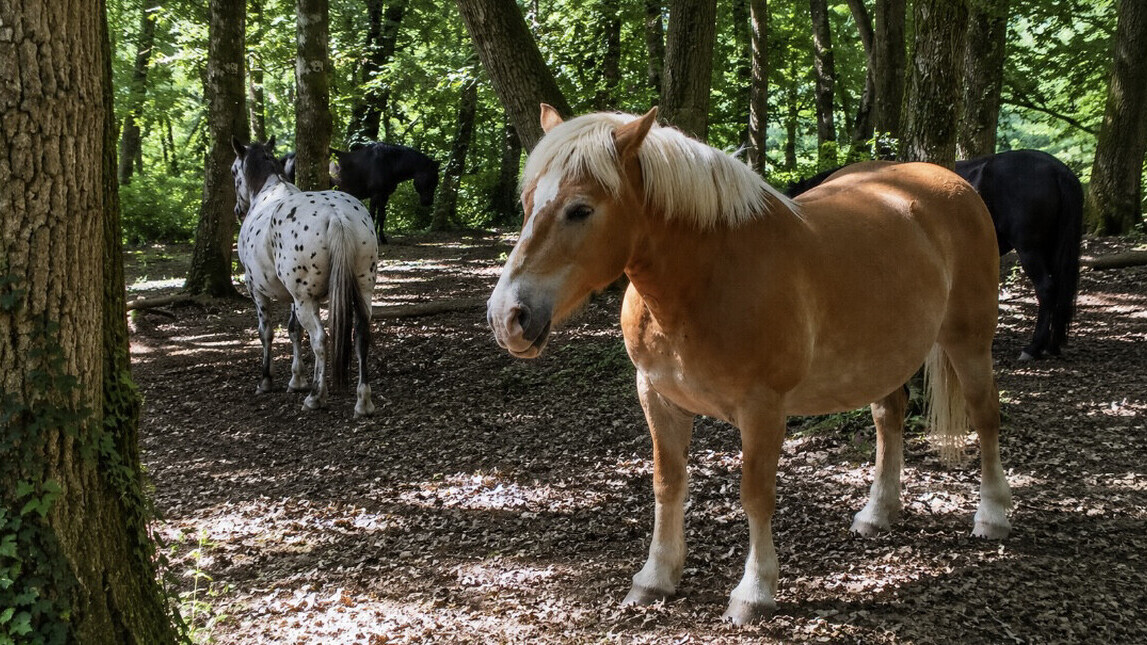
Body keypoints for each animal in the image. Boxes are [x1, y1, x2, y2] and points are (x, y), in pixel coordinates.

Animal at [231, 136, 378, 418]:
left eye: (234, 172)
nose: (237, 210)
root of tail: (336, 215)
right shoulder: (295, 297)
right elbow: (293, 330)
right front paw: (296, 379)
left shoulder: (257, 290)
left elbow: (266, 332)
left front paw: (266, 380)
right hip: (362, 290)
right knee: (361, 335)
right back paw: (363, 402)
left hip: (305, 300)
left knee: (320, 340)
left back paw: (316, 396)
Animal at [487, 106, 1012, 625]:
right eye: (528, 202)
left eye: (580, 209)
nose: (507, 317)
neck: (707, 276)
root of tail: (952, 184)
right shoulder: (657, 397)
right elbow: (667, 485)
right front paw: (655, 578)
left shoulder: (762, 409)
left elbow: (755, 496)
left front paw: (754, 592)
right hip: (884, 356)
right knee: (890, 417)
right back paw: (877, 512)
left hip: (968, 341)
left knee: (986, 416)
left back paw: (992, 515)